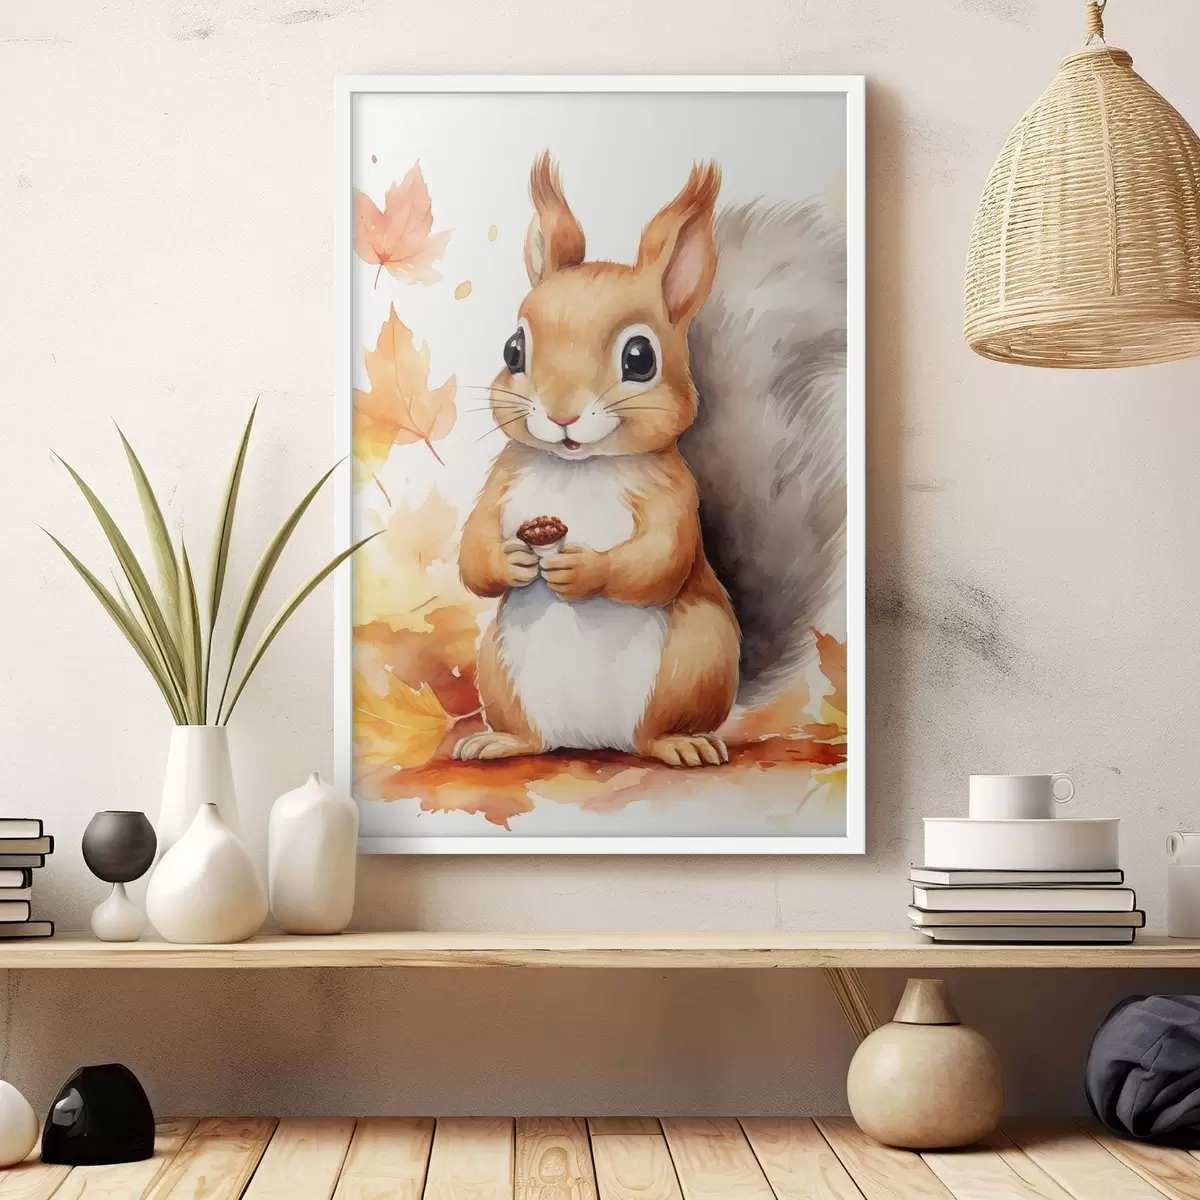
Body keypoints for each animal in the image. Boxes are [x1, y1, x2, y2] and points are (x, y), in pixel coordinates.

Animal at [456, 152, 846, 768]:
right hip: (497, 670)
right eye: (512, 350)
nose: (561, 414)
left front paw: (584, 570)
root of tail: (593, 741)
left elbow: (660, 558)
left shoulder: (675, 494)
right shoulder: (501, 483)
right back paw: (501, 741)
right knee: (533, 736)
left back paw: (682, 744)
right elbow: (472, 551)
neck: (579, 467)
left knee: (658, 733)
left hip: (693, 659)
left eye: (639, 358)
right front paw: (510, 561)